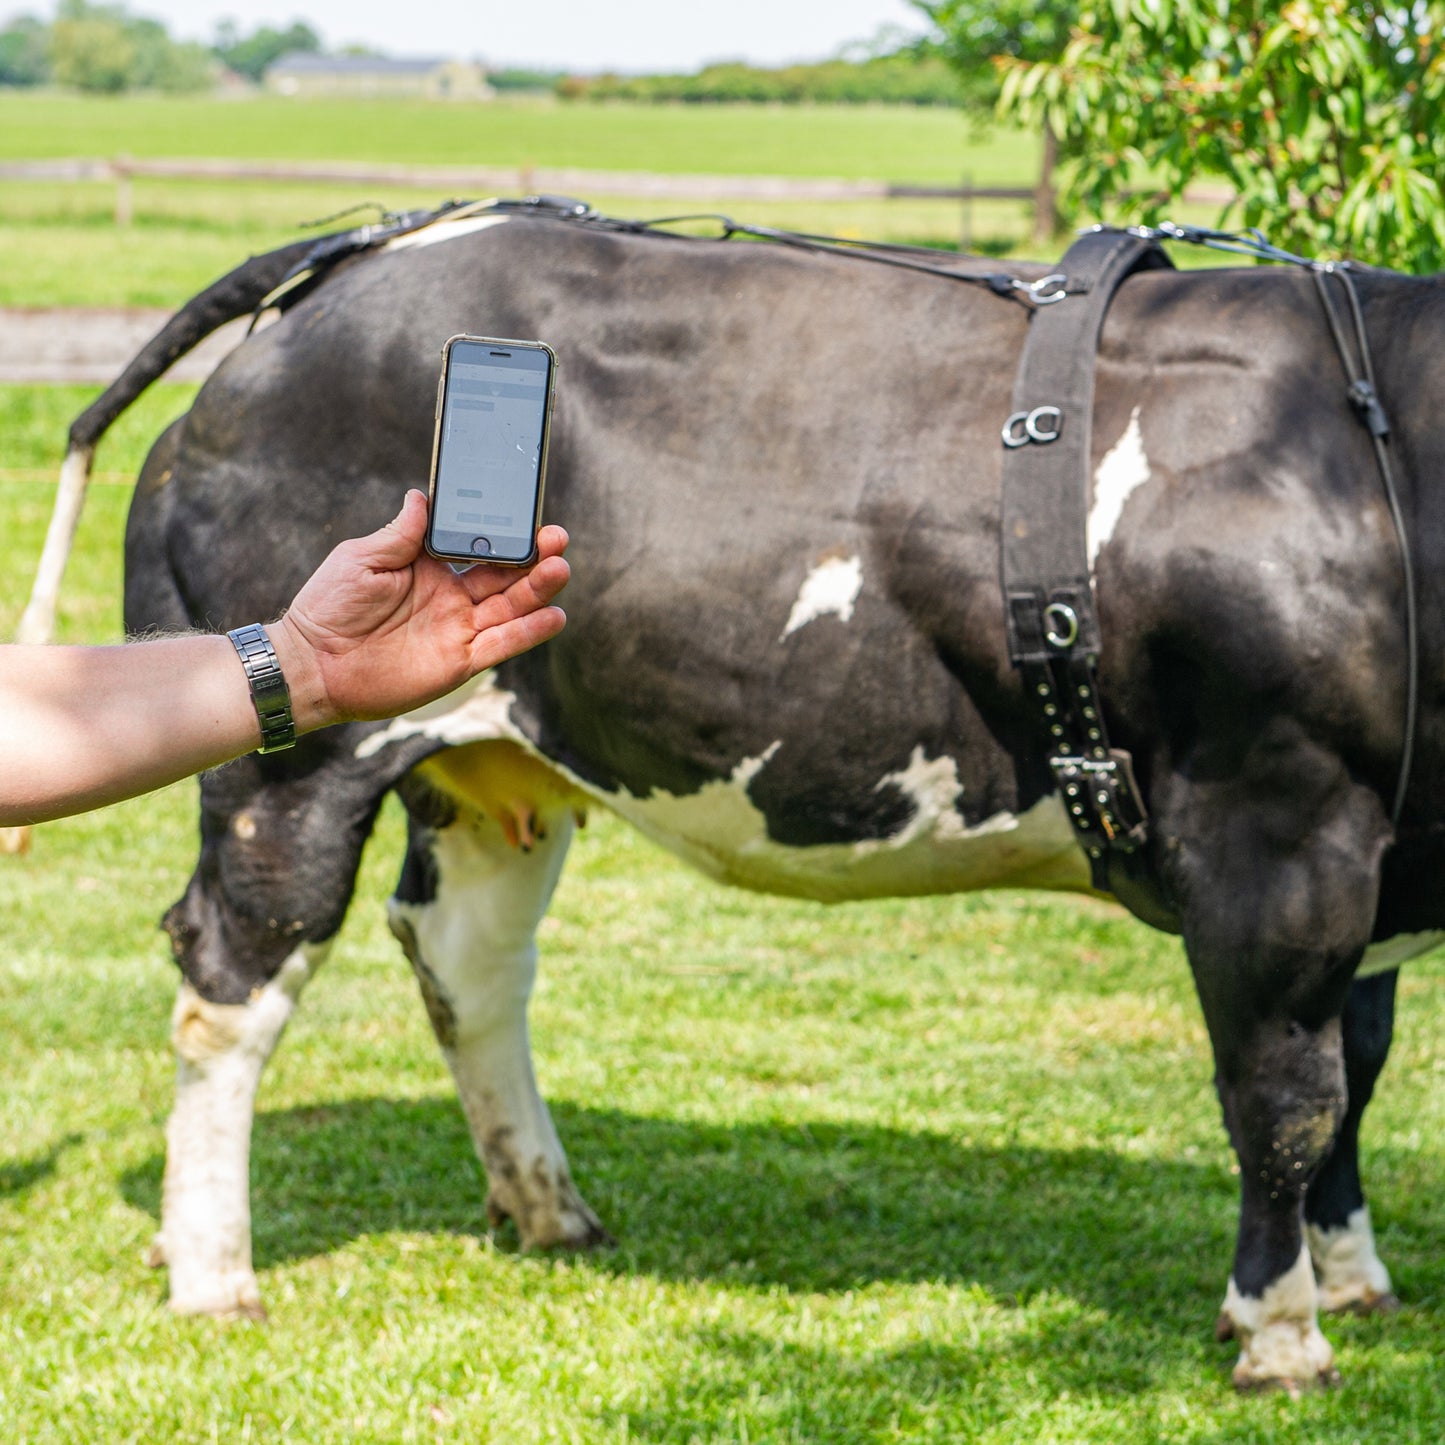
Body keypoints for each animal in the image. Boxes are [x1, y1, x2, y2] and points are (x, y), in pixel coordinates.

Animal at [28, 203, 1439, 1387]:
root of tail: (352, 258)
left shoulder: (1370, 853)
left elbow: (1355, 1067)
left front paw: (1352, 1279)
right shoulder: (1275, 820)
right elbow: (1287, 1093)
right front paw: (1279, 1331)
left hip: (494, 756)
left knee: (465, 960)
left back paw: (545, 1203)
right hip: (288, 768)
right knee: (230, 976)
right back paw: (212, 1267)